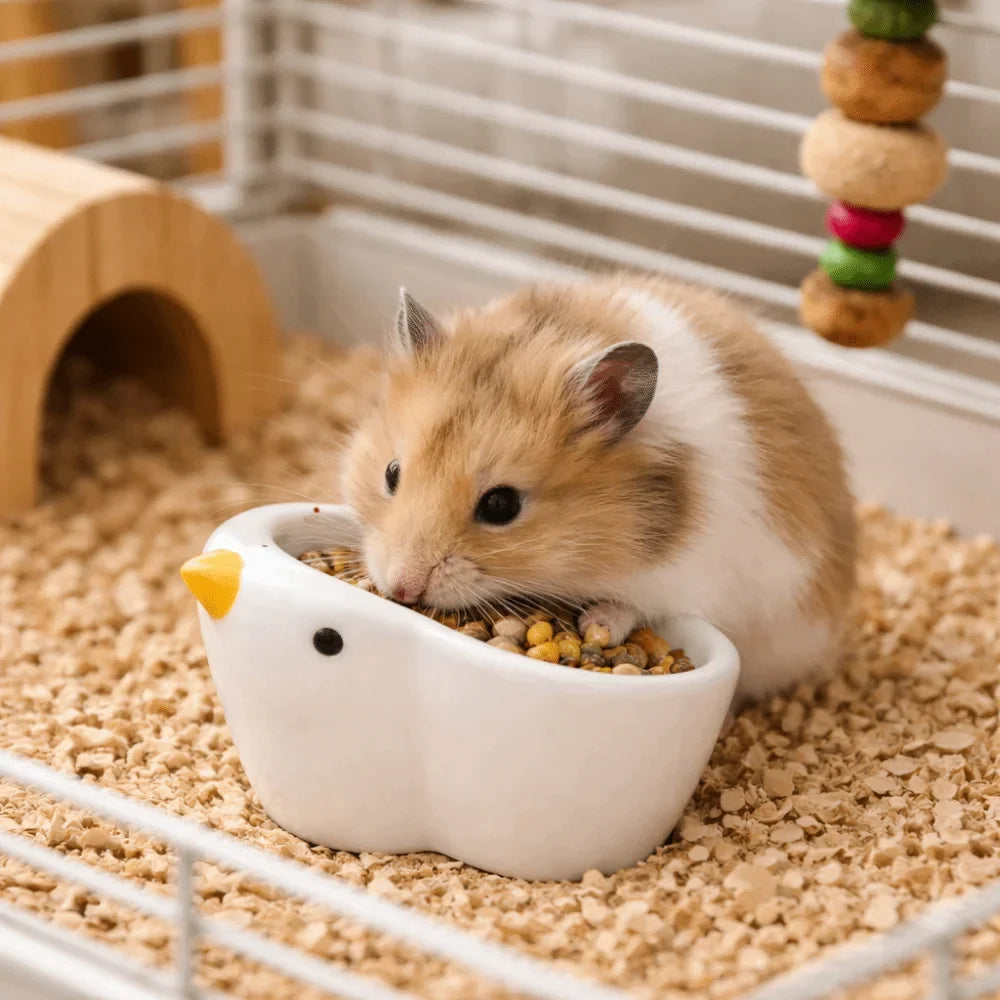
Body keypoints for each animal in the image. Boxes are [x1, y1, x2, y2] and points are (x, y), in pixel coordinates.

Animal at [340, 274, 856, 704]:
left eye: (501, 505)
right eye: (391, 473)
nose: (401, 588)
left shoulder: (694, 576)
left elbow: (635, 607)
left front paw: (594, 624)